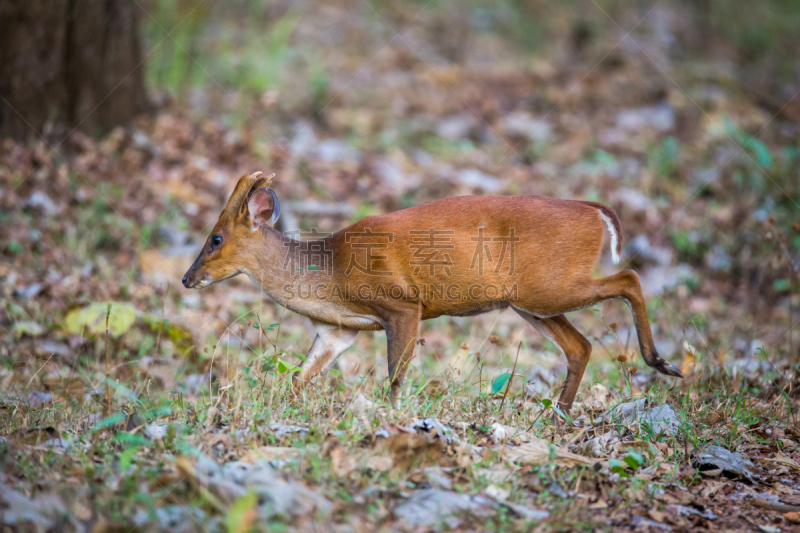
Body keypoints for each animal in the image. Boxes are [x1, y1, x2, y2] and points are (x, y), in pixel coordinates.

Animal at [183, 171, 680, 412]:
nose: (187, 279)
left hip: (548, 287)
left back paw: (661, 361)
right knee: (581, 345)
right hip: (530, 302)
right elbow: (297, 378)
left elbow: (395, 376)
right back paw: (559, 413)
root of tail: (596, 211)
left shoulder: (402, 304)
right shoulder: (338, 329)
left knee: (629, 279)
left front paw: (392, 418)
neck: (329, 276)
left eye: (215, 238)